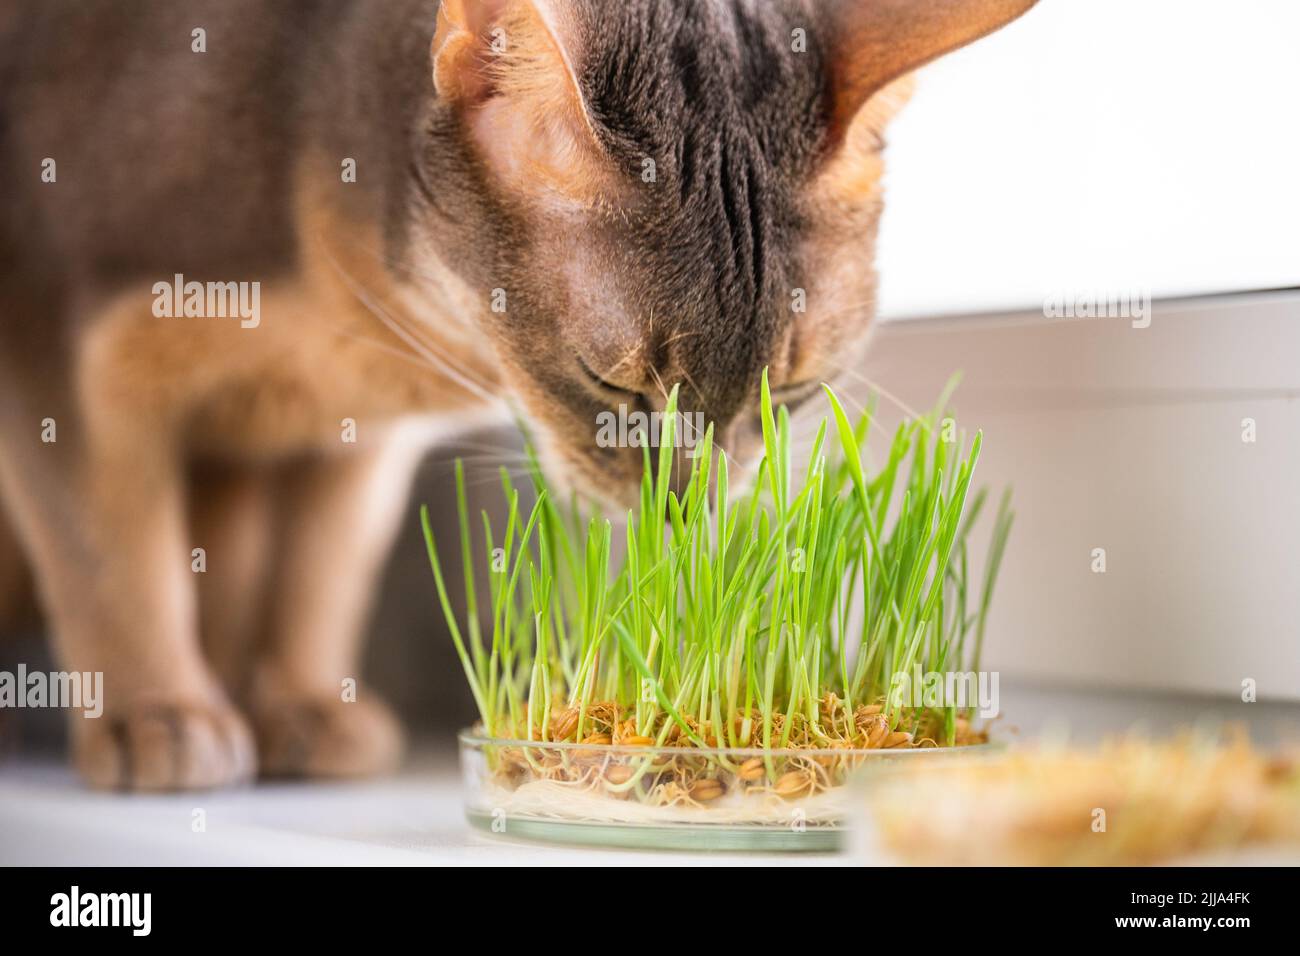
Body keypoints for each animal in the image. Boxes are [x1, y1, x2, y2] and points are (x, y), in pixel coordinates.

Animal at [0, 0, 1034, 790]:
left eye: (794, 391)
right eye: (612, 381)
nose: (685, 510)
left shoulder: (353, 445)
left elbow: (322, 574)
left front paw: (306, 703)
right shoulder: (51, 342)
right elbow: (116, 556)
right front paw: (158, 715)